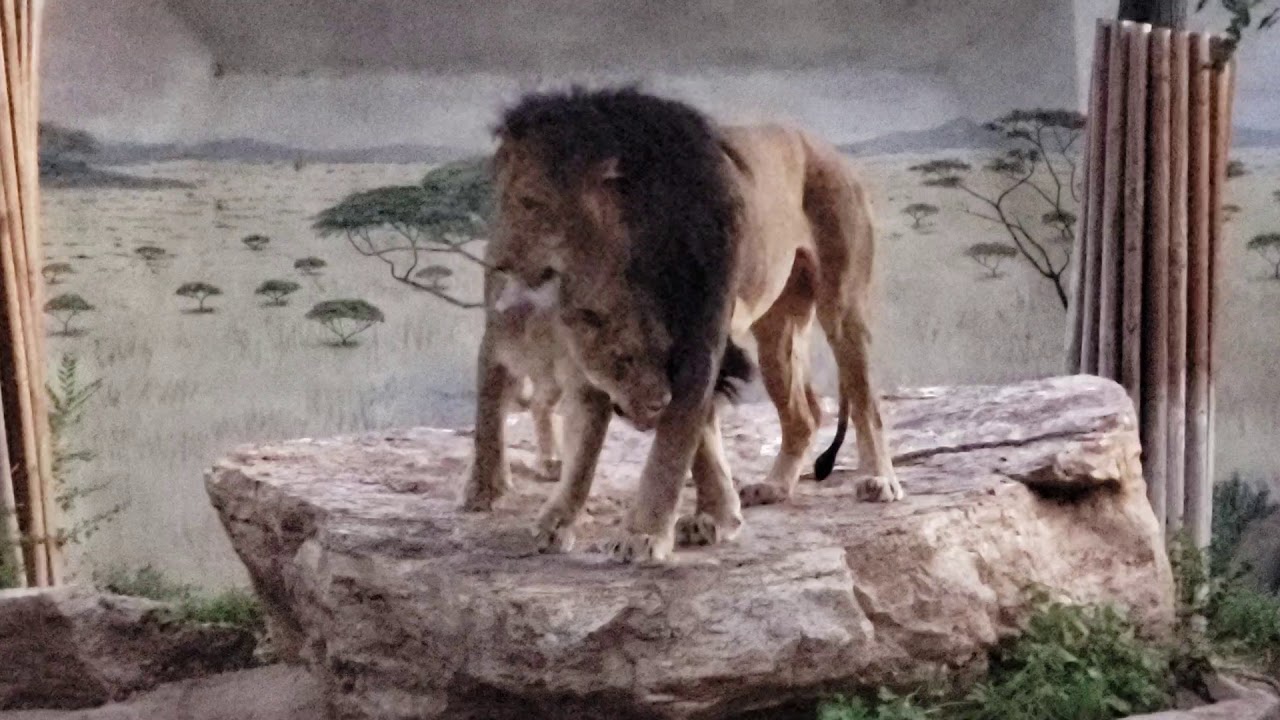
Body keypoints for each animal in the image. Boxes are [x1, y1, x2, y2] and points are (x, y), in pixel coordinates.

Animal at [469, 86, 899, 564]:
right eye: (501, 198)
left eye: (530, 201)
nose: (497, 263)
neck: (628, 253)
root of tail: (828, 147)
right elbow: (697, 433)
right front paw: (717, 517)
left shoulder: (699, 338)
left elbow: (673, 441)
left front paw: (644, 535)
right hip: (776, 334)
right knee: (804, 414)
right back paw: (773, 486)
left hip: (842, 308)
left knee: (865, 401)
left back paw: (878, 479)